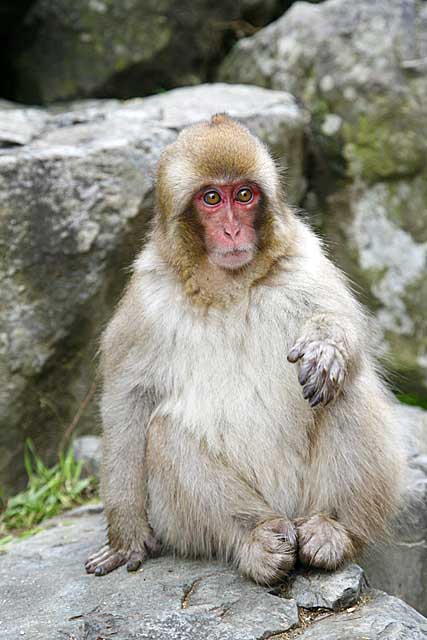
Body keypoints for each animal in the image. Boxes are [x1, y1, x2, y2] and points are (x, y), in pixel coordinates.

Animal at [85, 114, 406, 584]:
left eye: (244, 194)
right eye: (211, 198)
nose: (233, 229)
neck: (229, 286)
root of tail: (287, 510)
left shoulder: (305, 258)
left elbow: (353, 333)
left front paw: (325, 346)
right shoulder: (146, 302)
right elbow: (128, 400)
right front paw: (126, 532)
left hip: (306, 494)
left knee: (346, 389)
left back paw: (332, 529)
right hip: (197, 519)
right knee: (163, 433)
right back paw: (258, 539)